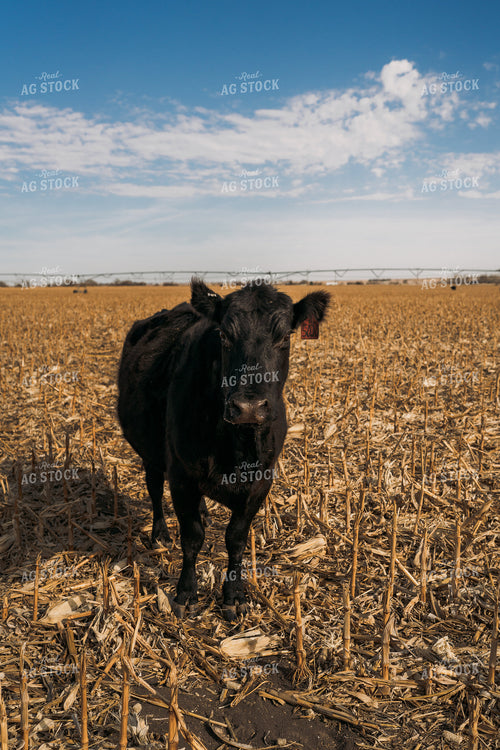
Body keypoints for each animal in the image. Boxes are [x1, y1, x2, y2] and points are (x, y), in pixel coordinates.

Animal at [117, 278, 330, 620]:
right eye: (224, 336)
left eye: (284, 336)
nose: (249, 407)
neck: (236, 445)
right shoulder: (182, 476)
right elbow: (192, 538)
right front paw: (185, 593)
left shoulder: (260, 482)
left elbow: (236, 539)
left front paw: (234, 595)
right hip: (150, 453)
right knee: (154, 489)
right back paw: (159, 534)